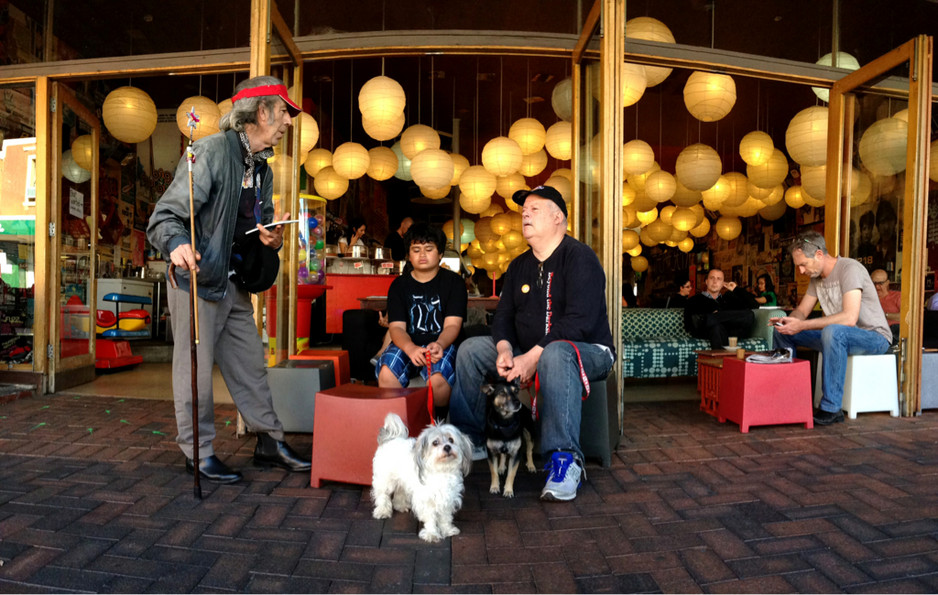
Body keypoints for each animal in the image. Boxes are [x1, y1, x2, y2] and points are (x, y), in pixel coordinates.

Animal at [372, 414, 472, 544]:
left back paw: (400, 506)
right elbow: (430, 518)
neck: (442, 471)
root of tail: (391, 439)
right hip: (385, 480)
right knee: (382, 495)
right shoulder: (426, 500)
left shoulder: (447, 498)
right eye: (435, 442)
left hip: (402, 479)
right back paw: (382, 511)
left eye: (451, 440)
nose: (447, 447)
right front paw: (431, 534)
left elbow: (445, 517)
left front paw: (447, 530)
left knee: (400, 491)